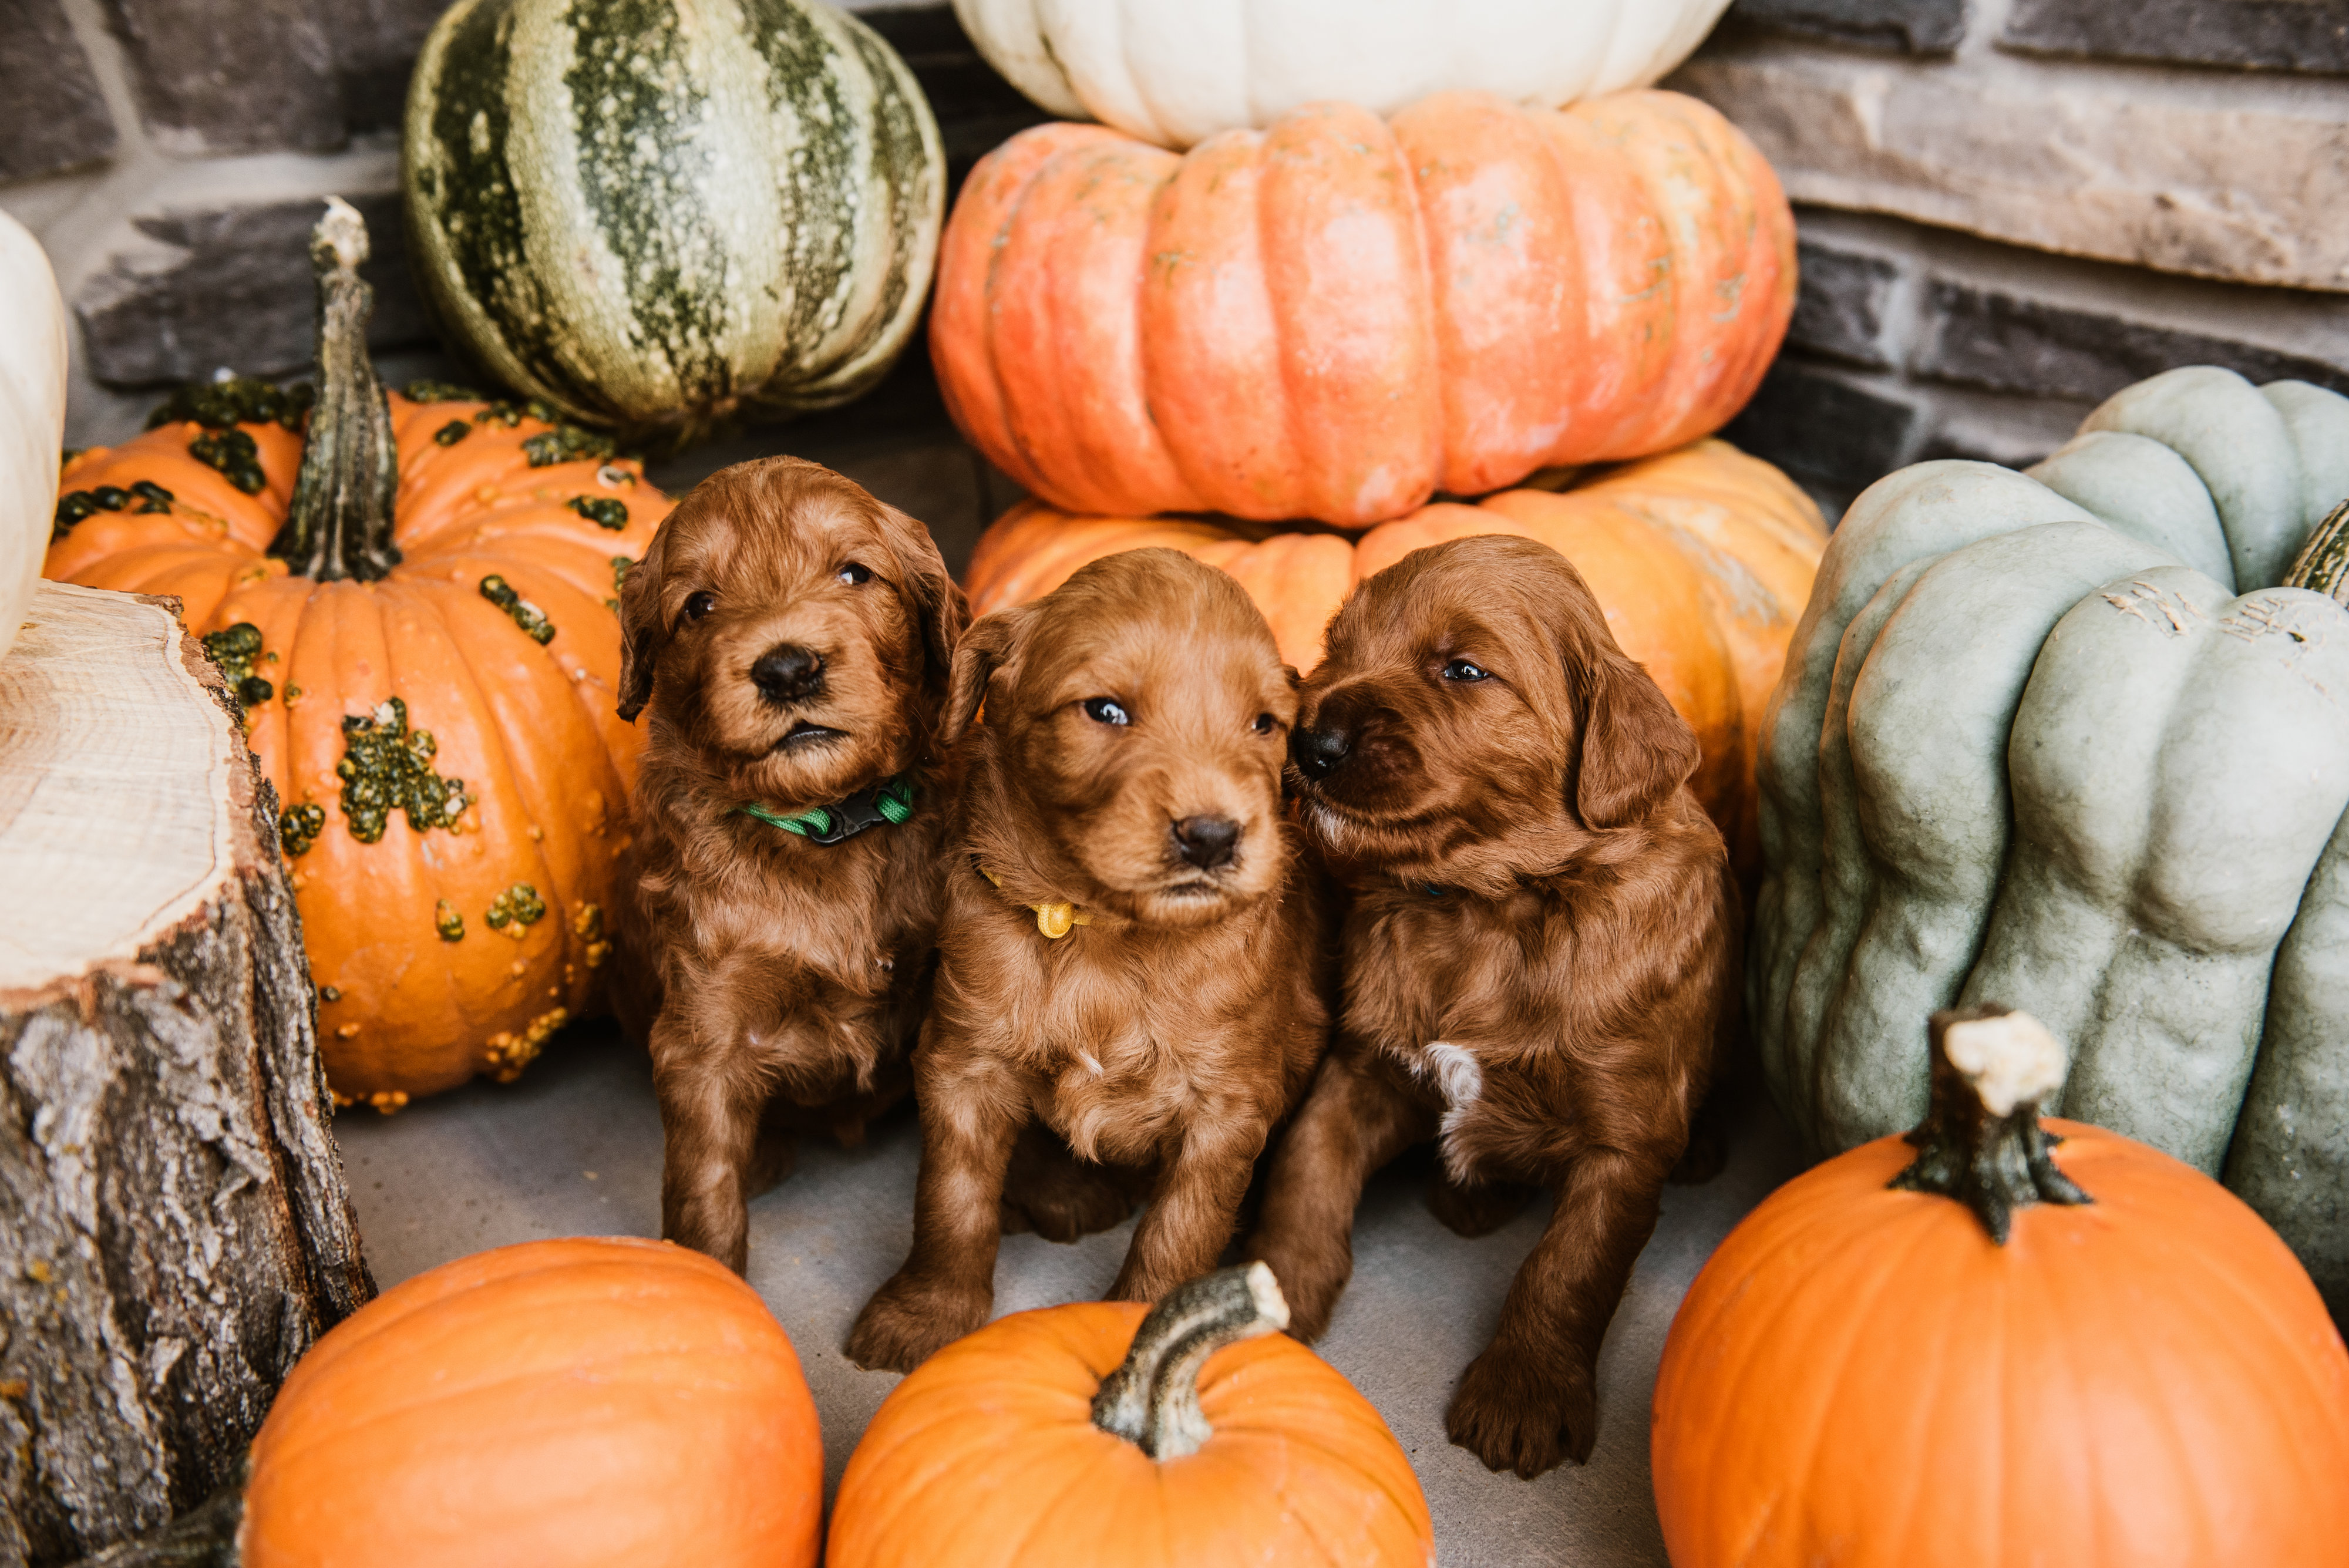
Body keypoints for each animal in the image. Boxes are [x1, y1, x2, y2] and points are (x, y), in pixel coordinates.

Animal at [615, 450, 972, 1277]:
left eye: (854, 574)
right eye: (699, 605)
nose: (786, 670)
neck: (827, 825)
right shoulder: (703, 1028)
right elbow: (705, 1184)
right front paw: (711, 1278)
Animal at [846, 549, 1334, 1371]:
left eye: (1264, 724)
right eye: (1104, 712)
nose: (1212, 837)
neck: (1102, 934)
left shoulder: (1226, 1108)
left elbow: (1178, 1233)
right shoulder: (962, 1062)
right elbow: (951, 1200)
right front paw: (924, 1314)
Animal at [1250, 533, 1729, 1474]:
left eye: (1463, 669)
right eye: (1336, 646)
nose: (1312, 740)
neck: (1489, 911)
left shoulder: (1623, 1139)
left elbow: (1566, 1265)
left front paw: (1522, 1395)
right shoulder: (1360, 1071)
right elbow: (1305, 1176)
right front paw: (1267, 1296)